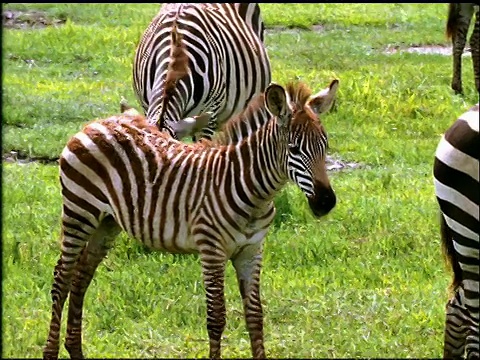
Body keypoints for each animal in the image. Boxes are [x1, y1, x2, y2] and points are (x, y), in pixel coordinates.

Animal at [43, 76, 340, 360]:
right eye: (294, 149)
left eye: (325, 145)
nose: (326, 203)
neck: (252, 192)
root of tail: (97, 122)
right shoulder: (211, 249)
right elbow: (217, 318)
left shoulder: (251, 251)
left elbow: (255, 316)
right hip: (79, 211)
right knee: (62, 277)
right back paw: (51, 352)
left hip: (107, 222)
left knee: (81, 276)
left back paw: (76, 350)